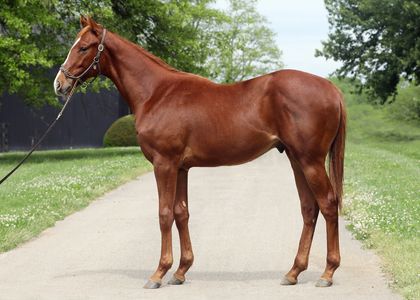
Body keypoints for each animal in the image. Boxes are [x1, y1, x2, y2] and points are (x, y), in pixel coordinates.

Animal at [54, 15, 346, 288]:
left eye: (83, 47)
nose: (59, 84)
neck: (157, 93)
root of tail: (331, 88)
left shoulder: (164, 164)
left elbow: (164, 214)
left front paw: (159, 273)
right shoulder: (181, 167)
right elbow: (181, 213)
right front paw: (180, 271)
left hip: (311, 161)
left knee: (328, 204)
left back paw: (327, 273)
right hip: (297, 160)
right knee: (309, 208)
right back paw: (293, 272)